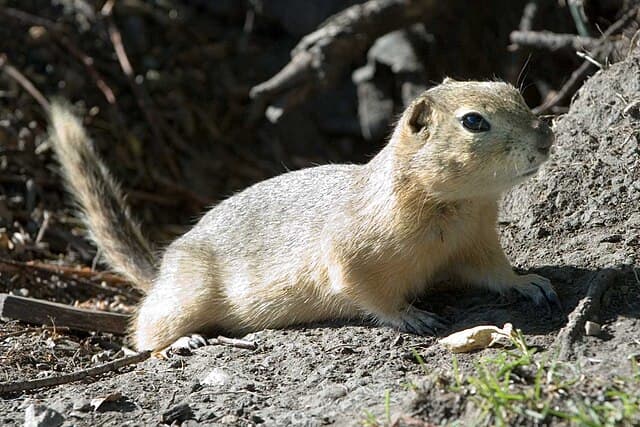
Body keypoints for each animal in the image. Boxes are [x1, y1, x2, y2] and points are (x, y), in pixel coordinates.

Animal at [48, 78, 561, 351]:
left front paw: (528, 283)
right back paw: (181, 342)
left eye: (514, 91)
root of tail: (161, 269)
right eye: (473, 121)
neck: (456, 207)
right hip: (186, 297)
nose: (546, 138)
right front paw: (410, 316)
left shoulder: (476, 242)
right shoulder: (352, 254)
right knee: (143, 329)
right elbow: (364, 291)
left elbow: (493, 273)